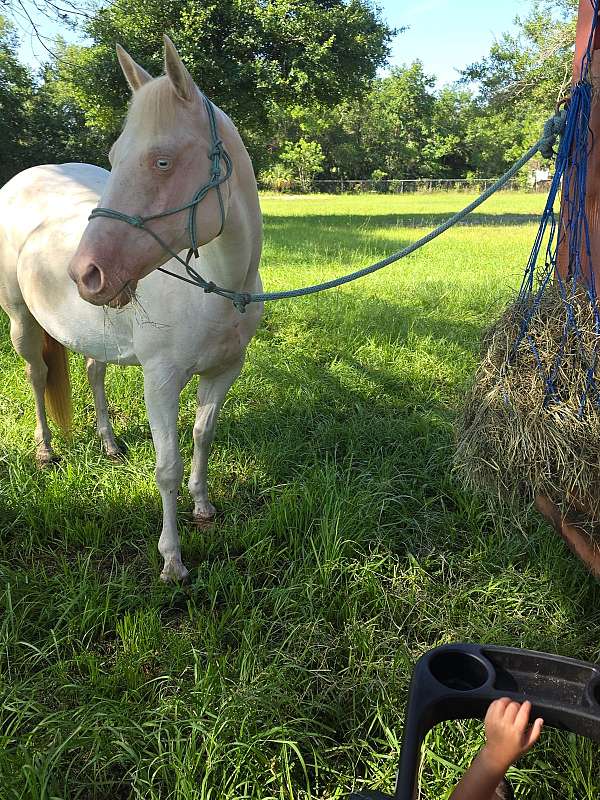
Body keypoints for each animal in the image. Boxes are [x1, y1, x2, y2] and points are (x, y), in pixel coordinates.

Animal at [0, 36, 263, 582]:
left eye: (162, 161)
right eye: (115, 156)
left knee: (93, 371)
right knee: (37, 376)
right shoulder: (160, 380)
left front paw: (203, 508)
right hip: (21, 322)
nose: (86, 273)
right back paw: (45, 450)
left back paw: (109, 443)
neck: (218, 289)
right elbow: (167, 466)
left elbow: (203, 436)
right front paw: (172, 560)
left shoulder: (225, 370)